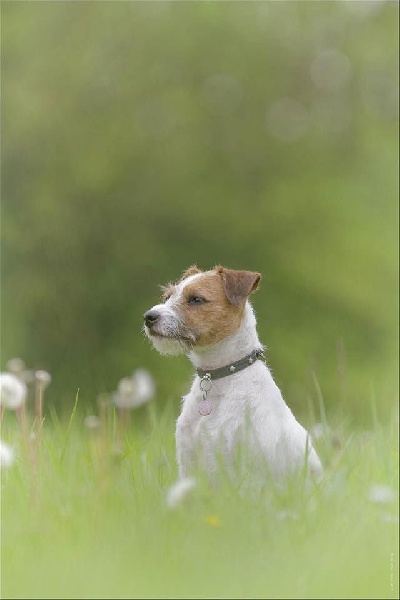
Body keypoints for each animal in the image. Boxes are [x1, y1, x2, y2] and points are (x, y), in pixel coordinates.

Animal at [144, 266, 322, 488]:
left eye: (196, 299)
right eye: (167, 296)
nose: (149, 316)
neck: (217, 378)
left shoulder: (248, 470)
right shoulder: (188, 460)